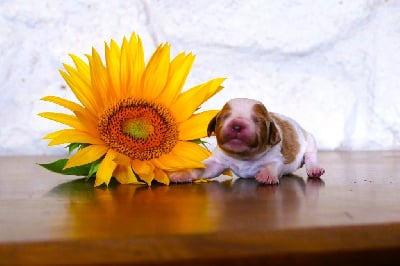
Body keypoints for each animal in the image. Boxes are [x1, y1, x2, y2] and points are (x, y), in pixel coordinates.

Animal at [169, 97, 324, 185]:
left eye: (257, 120)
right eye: (224, 117)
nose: (237, 126)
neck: (243, 157)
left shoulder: (276, 157)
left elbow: (272, 165)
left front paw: (267, 175)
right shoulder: (217, 162)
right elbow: (201, 168)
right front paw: (181, 174)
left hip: (310, 140)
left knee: (311, 157)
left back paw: (314, 169)